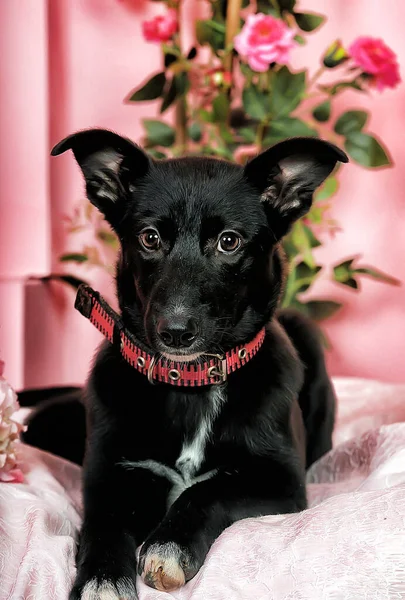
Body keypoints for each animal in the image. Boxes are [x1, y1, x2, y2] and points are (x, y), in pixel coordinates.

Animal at [49, 129, 346, 596]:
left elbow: (206, 491)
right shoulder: (108, 478)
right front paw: (102, 577)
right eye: (150, 238)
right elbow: (103, 527)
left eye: (229, 241)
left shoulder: (281, 482)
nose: (175, 331)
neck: (191, 384)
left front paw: (167, 546)